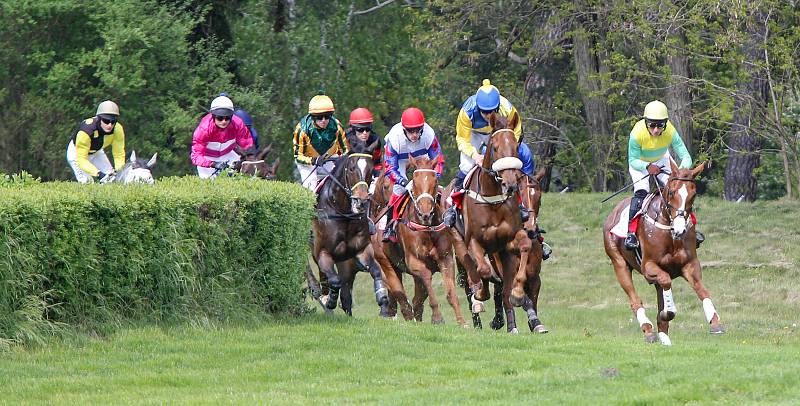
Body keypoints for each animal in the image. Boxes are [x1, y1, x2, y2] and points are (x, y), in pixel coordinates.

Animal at [304, 140, 390, 318]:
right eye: (351, 168)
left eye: (370, 169)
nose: (361, 200)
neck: (342, 212)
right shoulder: (322, 252)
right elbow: (334, 280)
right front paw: (328, 301)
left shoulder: (361, 250)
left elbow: (376, 271)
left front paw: (383, 302)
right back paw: (318, 291)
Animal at [380, 155, 472, 326]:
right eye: (415, 182)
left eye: (434, 182)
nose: (425, 213)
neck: (427, 228)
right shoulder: (414, 262)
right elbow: (427, 278)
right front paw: (437, 317)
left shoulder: (445, 258)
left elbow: (451, 293)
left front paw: (462, 322)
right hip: (385, 264)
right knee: (401, 296)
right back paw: (408, 319)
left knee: (416, 300)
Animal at [608, 160, 724, 344]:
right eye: (671, 192)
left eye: (693, 194)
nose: (680, 230)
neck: (670, 232)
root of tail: (614, 212)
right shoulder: (648, 266)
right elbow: (666, 281)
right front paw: (669, 312)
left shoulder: (690, 264)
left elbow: (701, 289)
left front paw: (715, 322)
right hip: (619, 264)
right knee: (635, 299)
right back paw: (648, 330)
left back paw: (664, 338)